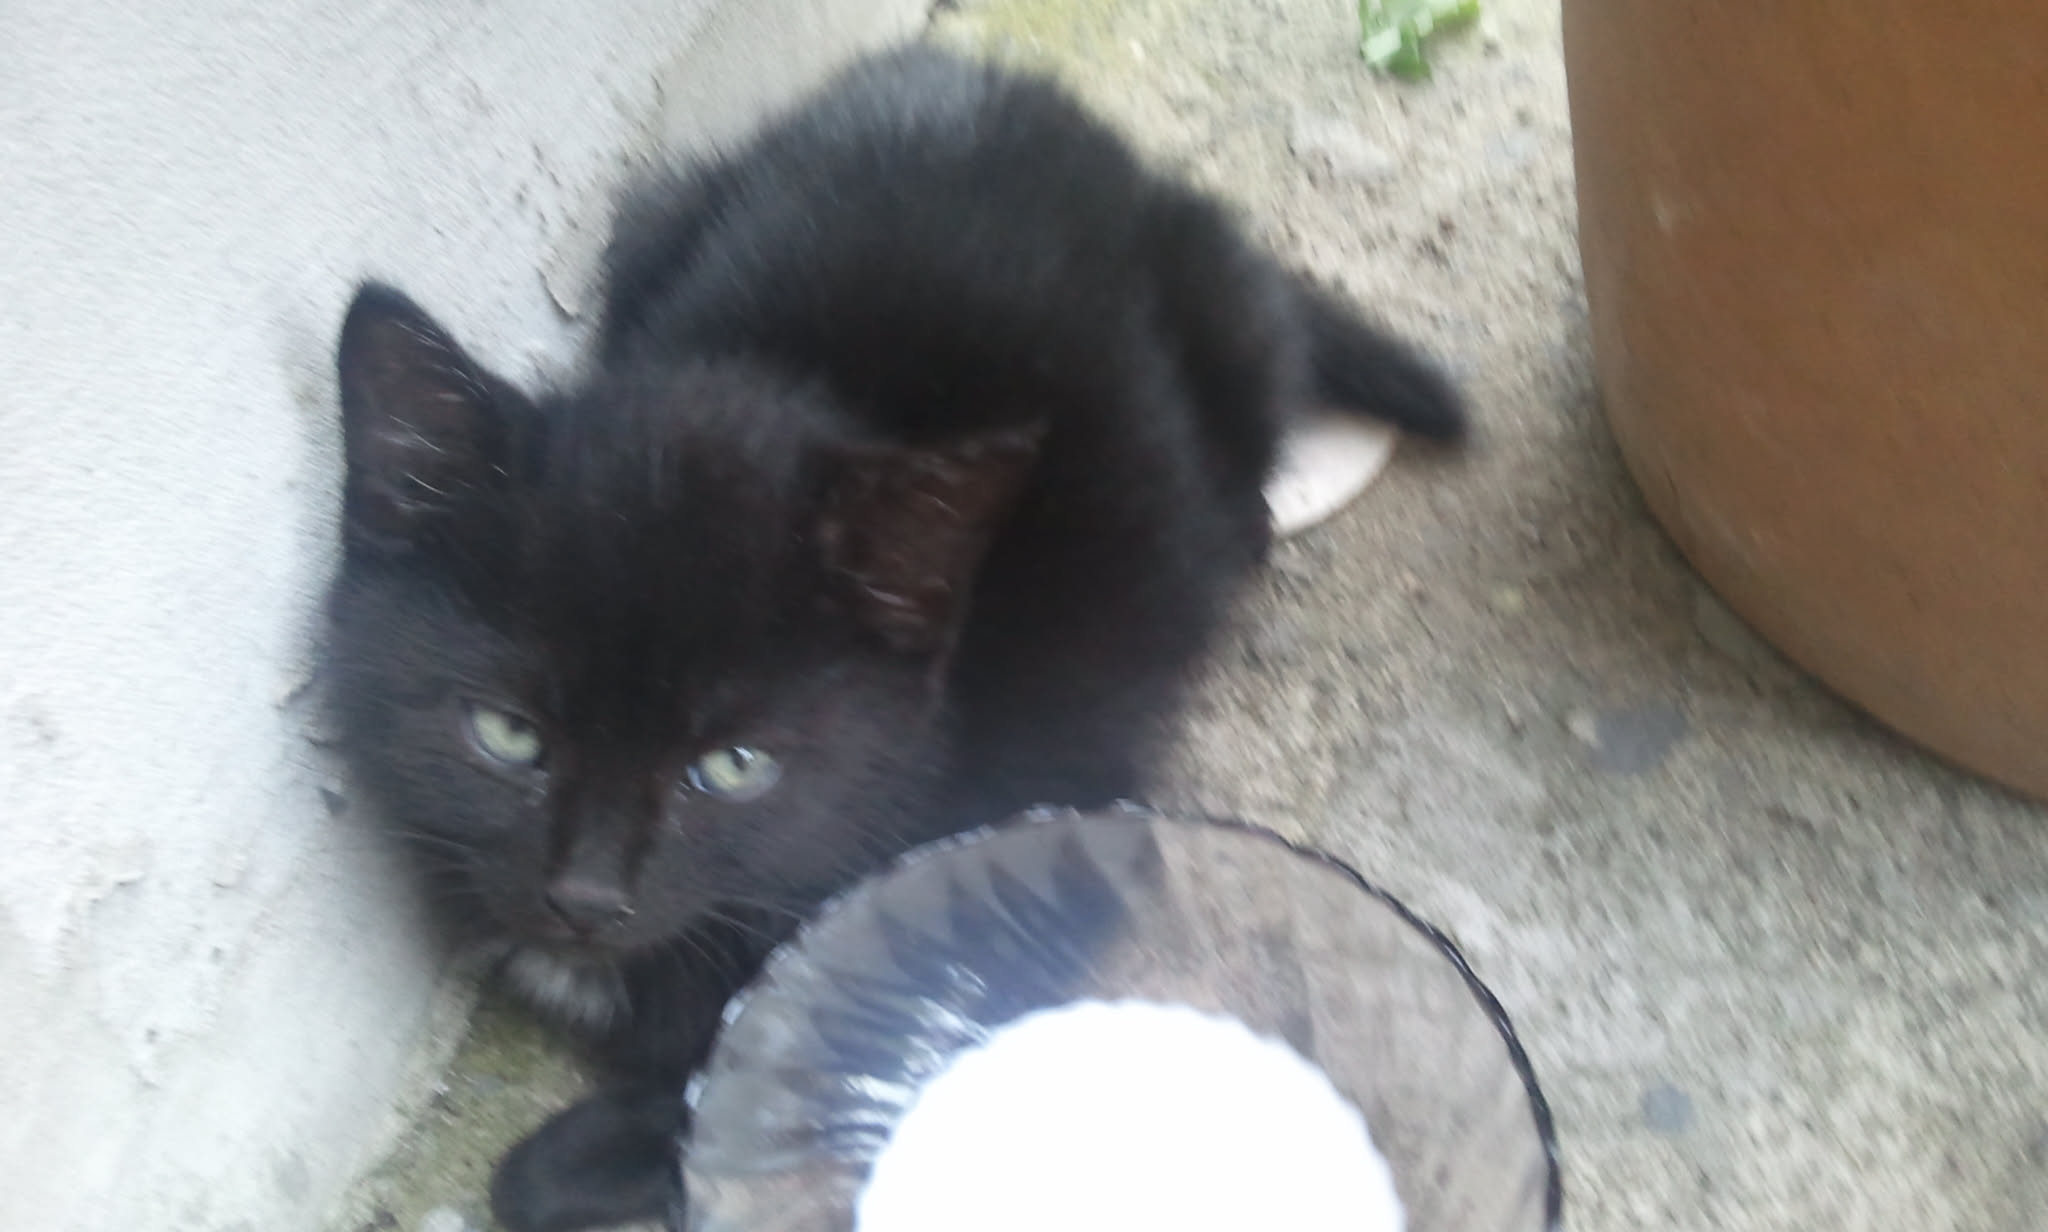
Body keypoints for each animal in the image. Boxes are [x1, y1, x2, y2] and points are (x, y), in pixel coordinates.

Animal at [323, 44, 1463, 1232]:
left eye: (733, 765)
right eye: (506, 734)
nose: (587, 896)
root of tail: (999, 80)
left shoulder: (1063, 830)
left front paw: (581, 1154)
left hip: (1225, 323)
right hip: (660, 206)